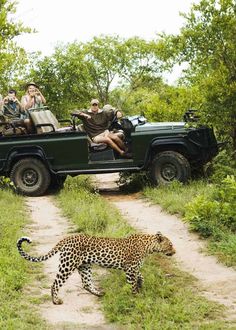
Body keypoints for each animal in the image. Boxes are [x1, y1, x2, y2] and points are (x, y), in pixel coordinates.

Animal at [17, 232, 175, 304]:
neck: (148, 247)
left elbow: (141, 276)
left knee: (86, 283)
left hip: (84, 266)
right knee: (55, 283)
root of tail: (66, 239)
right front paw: (136, 296)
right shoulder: (130, 269)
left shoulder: (133, 268)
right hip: (68, 264)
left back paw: (100, 293)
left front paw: (141, 284)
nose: (174, 251)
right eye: (170, 244)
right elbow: (132, 284)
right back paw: (56, 301)